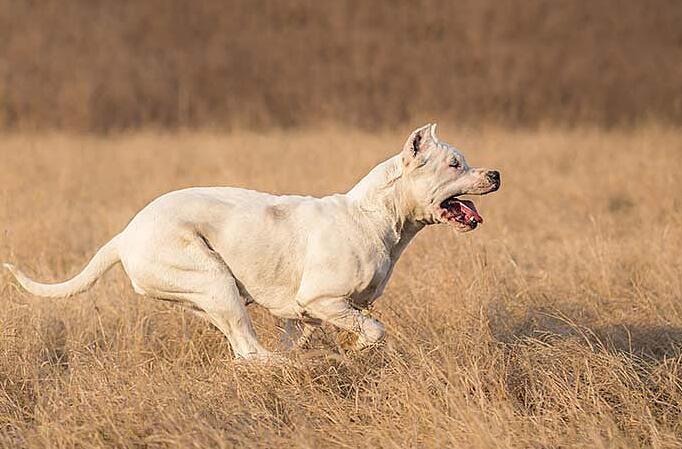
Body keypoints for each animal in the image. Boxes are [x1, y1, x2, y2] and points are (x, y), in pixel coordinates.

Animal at [2, 123, 496, 360]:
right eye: (454, 164)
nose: (495, 173)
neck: (375, 216)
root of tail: (125, 235)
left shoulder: (306, 315)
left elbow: (320, 332)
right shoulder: (323, 300)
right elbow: (374, 330)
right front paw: (356, 350)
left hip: (208, 298)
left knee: (246, 349)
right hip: (214, 281)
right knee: (251, 352)